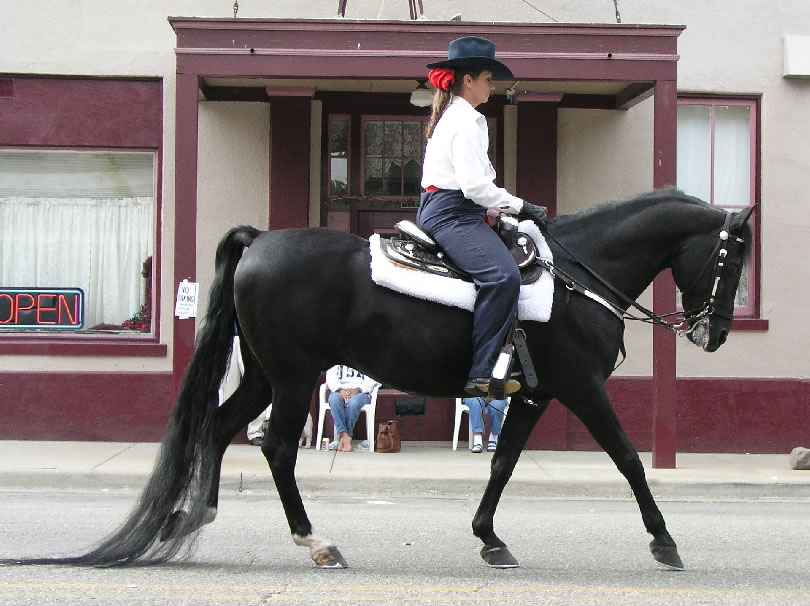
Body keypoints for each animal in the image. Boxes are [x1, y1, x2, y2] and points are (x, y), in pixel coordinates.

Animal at [6, 190, 752, 576]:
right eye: (734, 257)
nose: (713, 333)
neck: (578, 274)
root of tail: (259, 241)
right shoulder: (580, 386)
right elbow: (629, 458)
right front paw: (665, 541)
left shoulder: (535, 395)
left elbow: (504, 463)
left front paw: (489, 538)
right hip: (293, 376)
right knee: (278, 449)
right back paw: (316, 542)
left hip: (266, 375)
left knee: (219, 429)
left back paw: (195, 515)